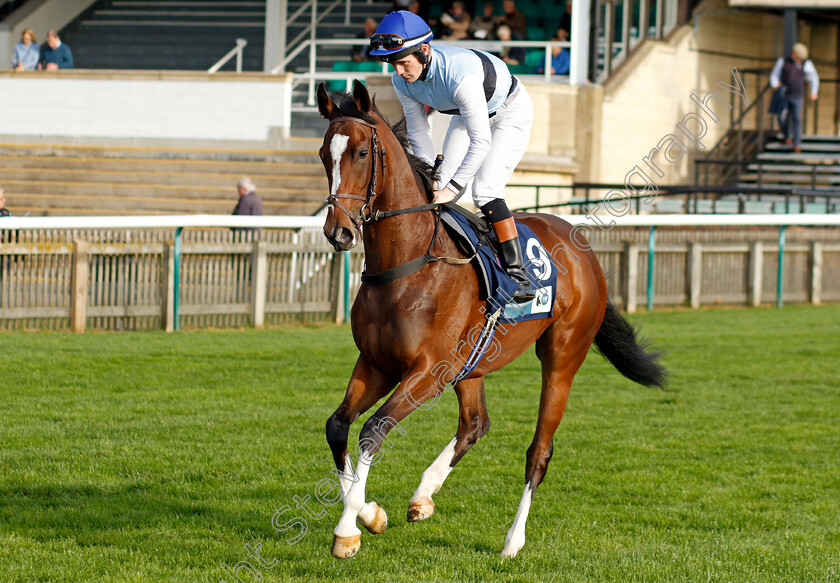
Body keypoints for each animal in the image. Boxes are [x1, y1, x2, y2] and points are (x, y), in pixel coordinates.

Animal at [316, 82, 668, 560]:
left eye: (361, 153)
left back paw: (512, 540)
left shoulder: (428, 372)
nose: (339, 232)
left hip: (562, 357)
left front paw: (350, 526)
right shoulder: (376, 363)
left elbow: (373, 429)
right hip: (473, 363)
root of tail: (585, 252)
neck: (407, 263)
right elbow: (338, 426)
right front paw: (368, 514)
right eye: (323, 154)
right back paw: (424, 495)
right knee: (475, 423)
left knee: (539, 451)